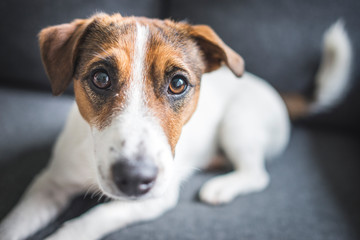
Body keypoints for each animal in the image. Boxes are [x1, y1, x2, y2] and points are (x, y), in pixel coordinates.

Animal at [0, 13, 352, 240]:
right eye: (101, 78)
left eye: (178, 83)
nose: (135, 178)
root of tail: (274, 90)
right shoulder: (49, 183)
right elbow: (14, 223)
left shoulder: (154, 200)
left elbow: (84, 223)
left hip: (239, 125)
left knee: (257, 173)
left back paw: (220, 187)